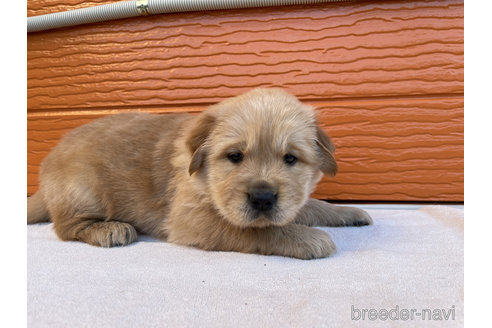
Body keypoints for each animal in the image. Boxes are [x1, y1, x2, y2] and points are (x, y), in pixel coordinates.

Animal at [26, 88, 370, 260]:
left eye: (290, 158)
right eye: (235, 156)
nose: (262, 198)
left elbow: (310, 205)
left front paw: (349, 212)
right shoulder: (190, 219)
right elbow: (255, 231)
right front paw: (307, 237)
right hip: (82, 190)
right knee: (65, 227)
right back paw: (108, 229)